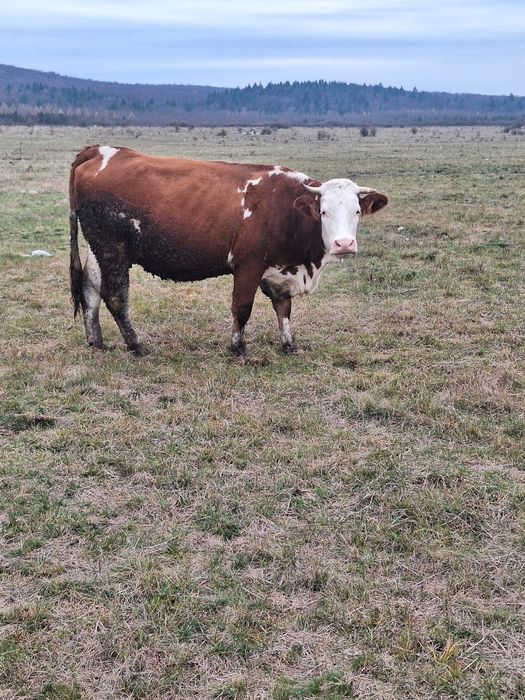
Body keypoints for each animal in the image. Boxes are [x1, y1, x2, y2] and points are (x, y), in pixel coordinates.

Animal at [69, 146, 387, 356]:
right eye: (323, 211)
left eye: (357, 211)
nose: (344, 244)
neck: (286, 207)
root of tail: (101, 152)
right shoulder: (248, 265)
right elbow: (242, 308)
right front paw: (238, 347)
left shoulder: (279, 269)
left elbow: (283, 308)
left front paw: (289, 344)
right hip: (112, 248)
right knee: (115, 296)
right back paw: (136, 344)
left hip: (97, 247)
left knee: (90, 288)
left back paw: (96, 341)